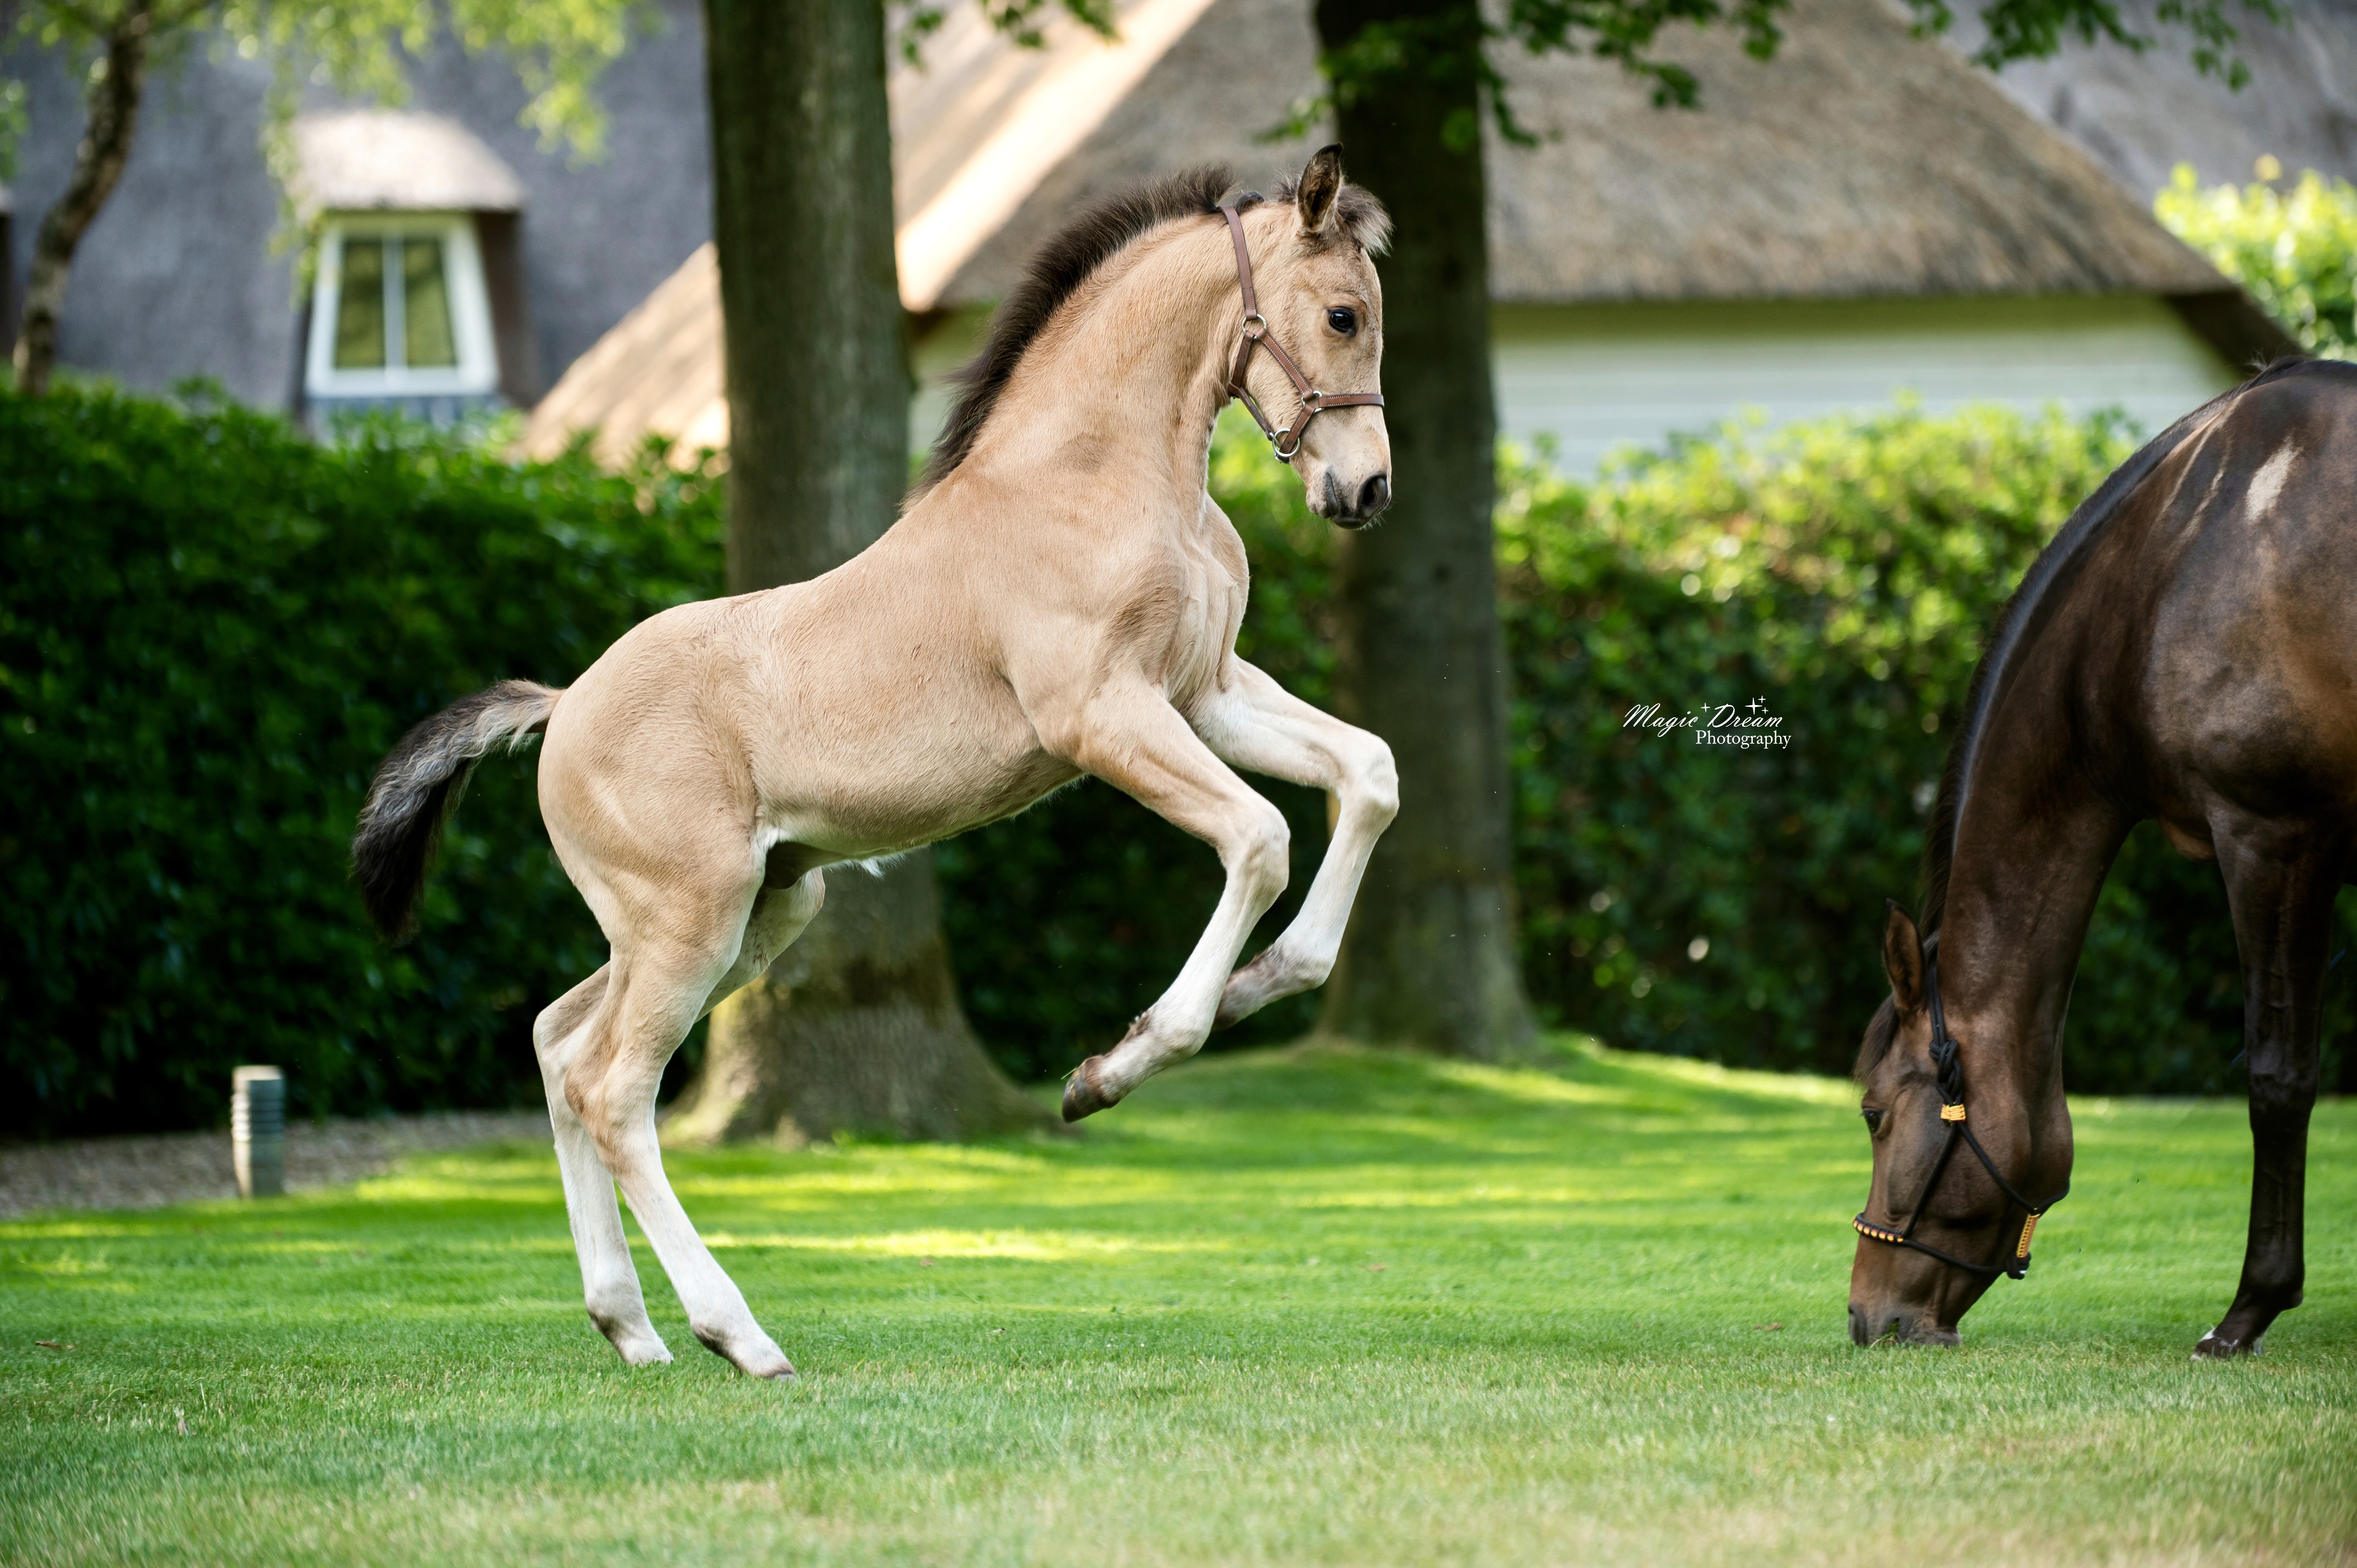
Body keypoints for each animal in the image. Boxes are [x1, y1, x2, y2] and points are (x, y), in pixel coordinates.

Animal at [350, 150, 1400, 1379]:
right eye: (1344, 314)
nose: (1365, 493)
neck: (1097, 477)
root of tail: (560, 708)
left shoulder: (1208, 695)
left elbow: (1370, 775)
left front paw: (1264, 983)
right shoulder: (1103, 718)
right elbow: (1260, 838)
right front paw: (1109, 1071)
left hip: (748, 917)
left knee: (561, 1047)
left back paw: (631, 1326)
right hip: (692, 920)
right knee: (614, 1091)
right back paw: (738, 1334)